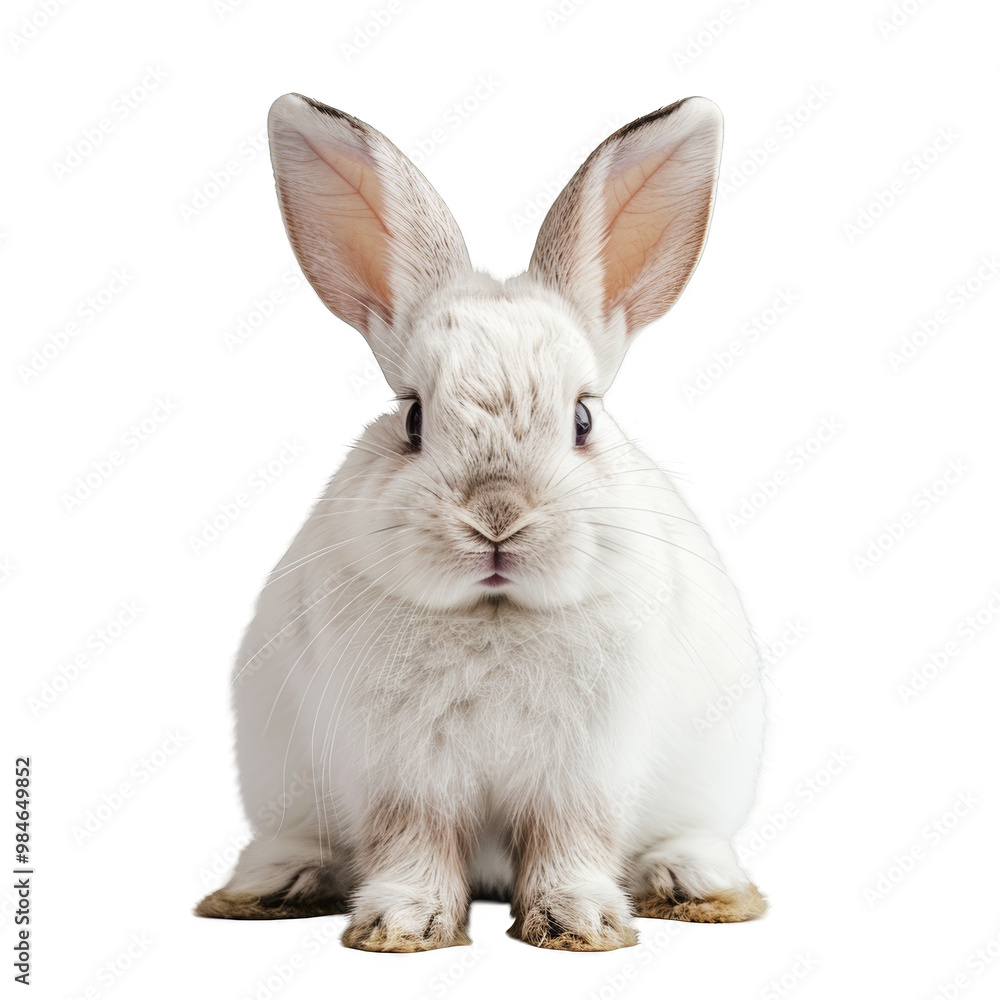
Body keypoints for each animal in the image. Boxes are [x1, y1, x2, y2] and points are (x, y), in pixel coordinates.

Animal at [195, 92, 768, 952]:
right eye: (413, 419)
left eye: (583, 419)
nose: (497, 518)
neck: (495, 616)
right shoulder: (402, 772)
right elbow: (414, 842)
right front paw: (403, 925)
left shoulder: (584, 771)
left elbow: (571, 841)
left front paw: (580, 923)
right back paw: (274, 884)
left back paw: (696, 883)